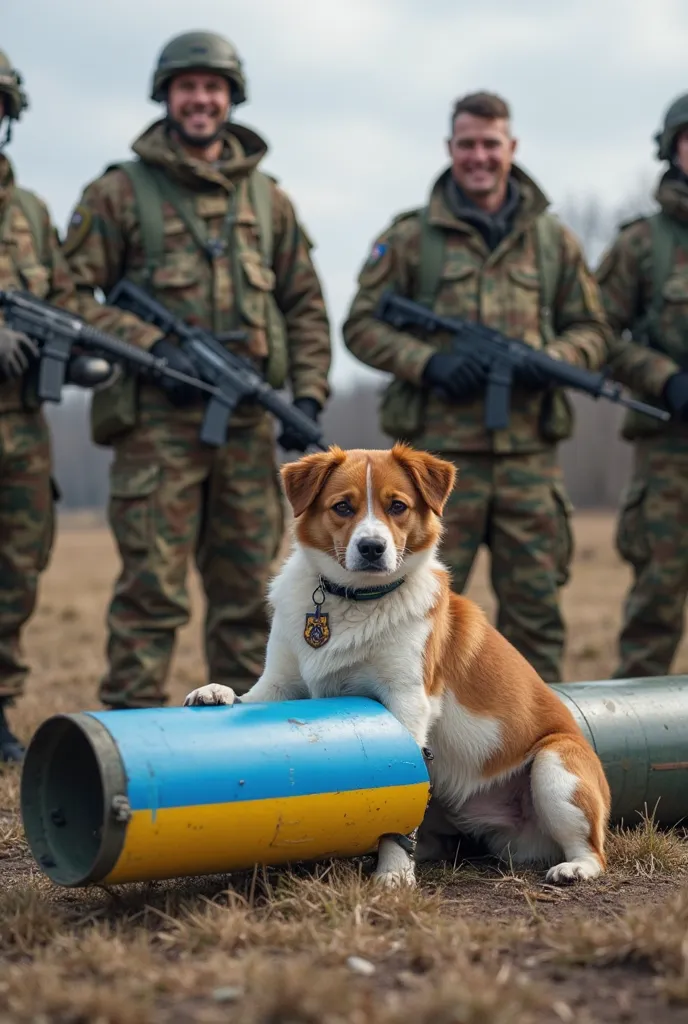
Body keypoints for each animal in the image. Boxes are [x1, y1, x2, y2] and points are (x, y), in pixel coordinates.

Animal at [182, 444, 606, 884]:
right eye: (343, 506)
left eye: (397, 506)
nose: (372, 547)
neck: (354, 598)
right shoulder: (281, 684)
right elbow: (252, 696)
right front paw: (215, 692)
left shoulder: (407, 702)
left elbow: (399, 809)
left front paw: (394, 874)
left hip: (554, 769)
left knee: (592, 849)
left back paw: (574, 868)